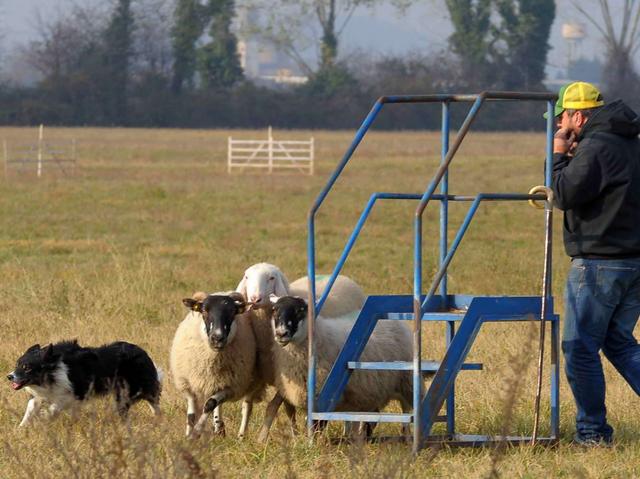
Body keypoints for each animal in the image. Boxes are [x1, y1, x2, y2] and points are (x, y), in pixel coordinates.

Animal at [7, 342, 162, 428]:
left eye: (27, 367)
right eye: (17, 365)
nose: (9, 376)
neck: (52, 371)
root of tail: (143, 352)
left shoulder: (76, 392)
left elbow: (55, 407)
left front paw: (44, 418)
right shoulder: (40, 395)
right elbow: (30, 410)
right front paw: (21, 428)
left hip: (130, 390)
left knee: (152, 401)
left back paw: (156, 419)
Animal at [169, 292, 264, 438]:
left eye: (232, 312)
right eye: (204, 311)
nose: (217, 338)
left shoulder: (230, 387)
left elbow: (210, 404)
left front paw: (196, 433)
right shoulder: (187, 383)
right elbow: (191, 414)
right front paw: (188, 435)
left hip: (251, 382)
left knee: (247, 406)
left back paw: (241, 436)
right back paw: (219, 428)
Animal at [262, 296, 416, 442]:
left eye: (300, 311)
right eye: (274, 310)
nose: (281, 333)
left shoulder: (323, 397)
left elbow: (317, 425)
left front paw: (314, 445)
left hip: (405, 381)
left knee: (406, 411)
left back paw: (407, 437)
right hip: (371, 390)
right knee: (371, 417)